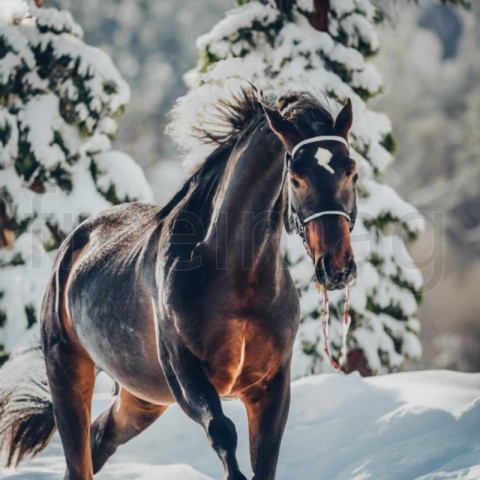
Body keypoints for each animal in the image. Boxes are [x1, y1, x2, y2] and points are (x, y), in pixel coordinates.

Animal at [0, 88, 356, 478]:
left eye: (351, 170)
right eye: (296, 176)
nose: (337, 266)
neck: (239, 280)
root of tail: (74, 244)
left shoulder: (271, 386)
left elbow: (264, 461)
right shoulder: (186, 375)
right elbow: (222, 432)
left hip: (142, 398)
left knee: (99, 437)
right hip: (68, 372)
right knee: (80, 458)